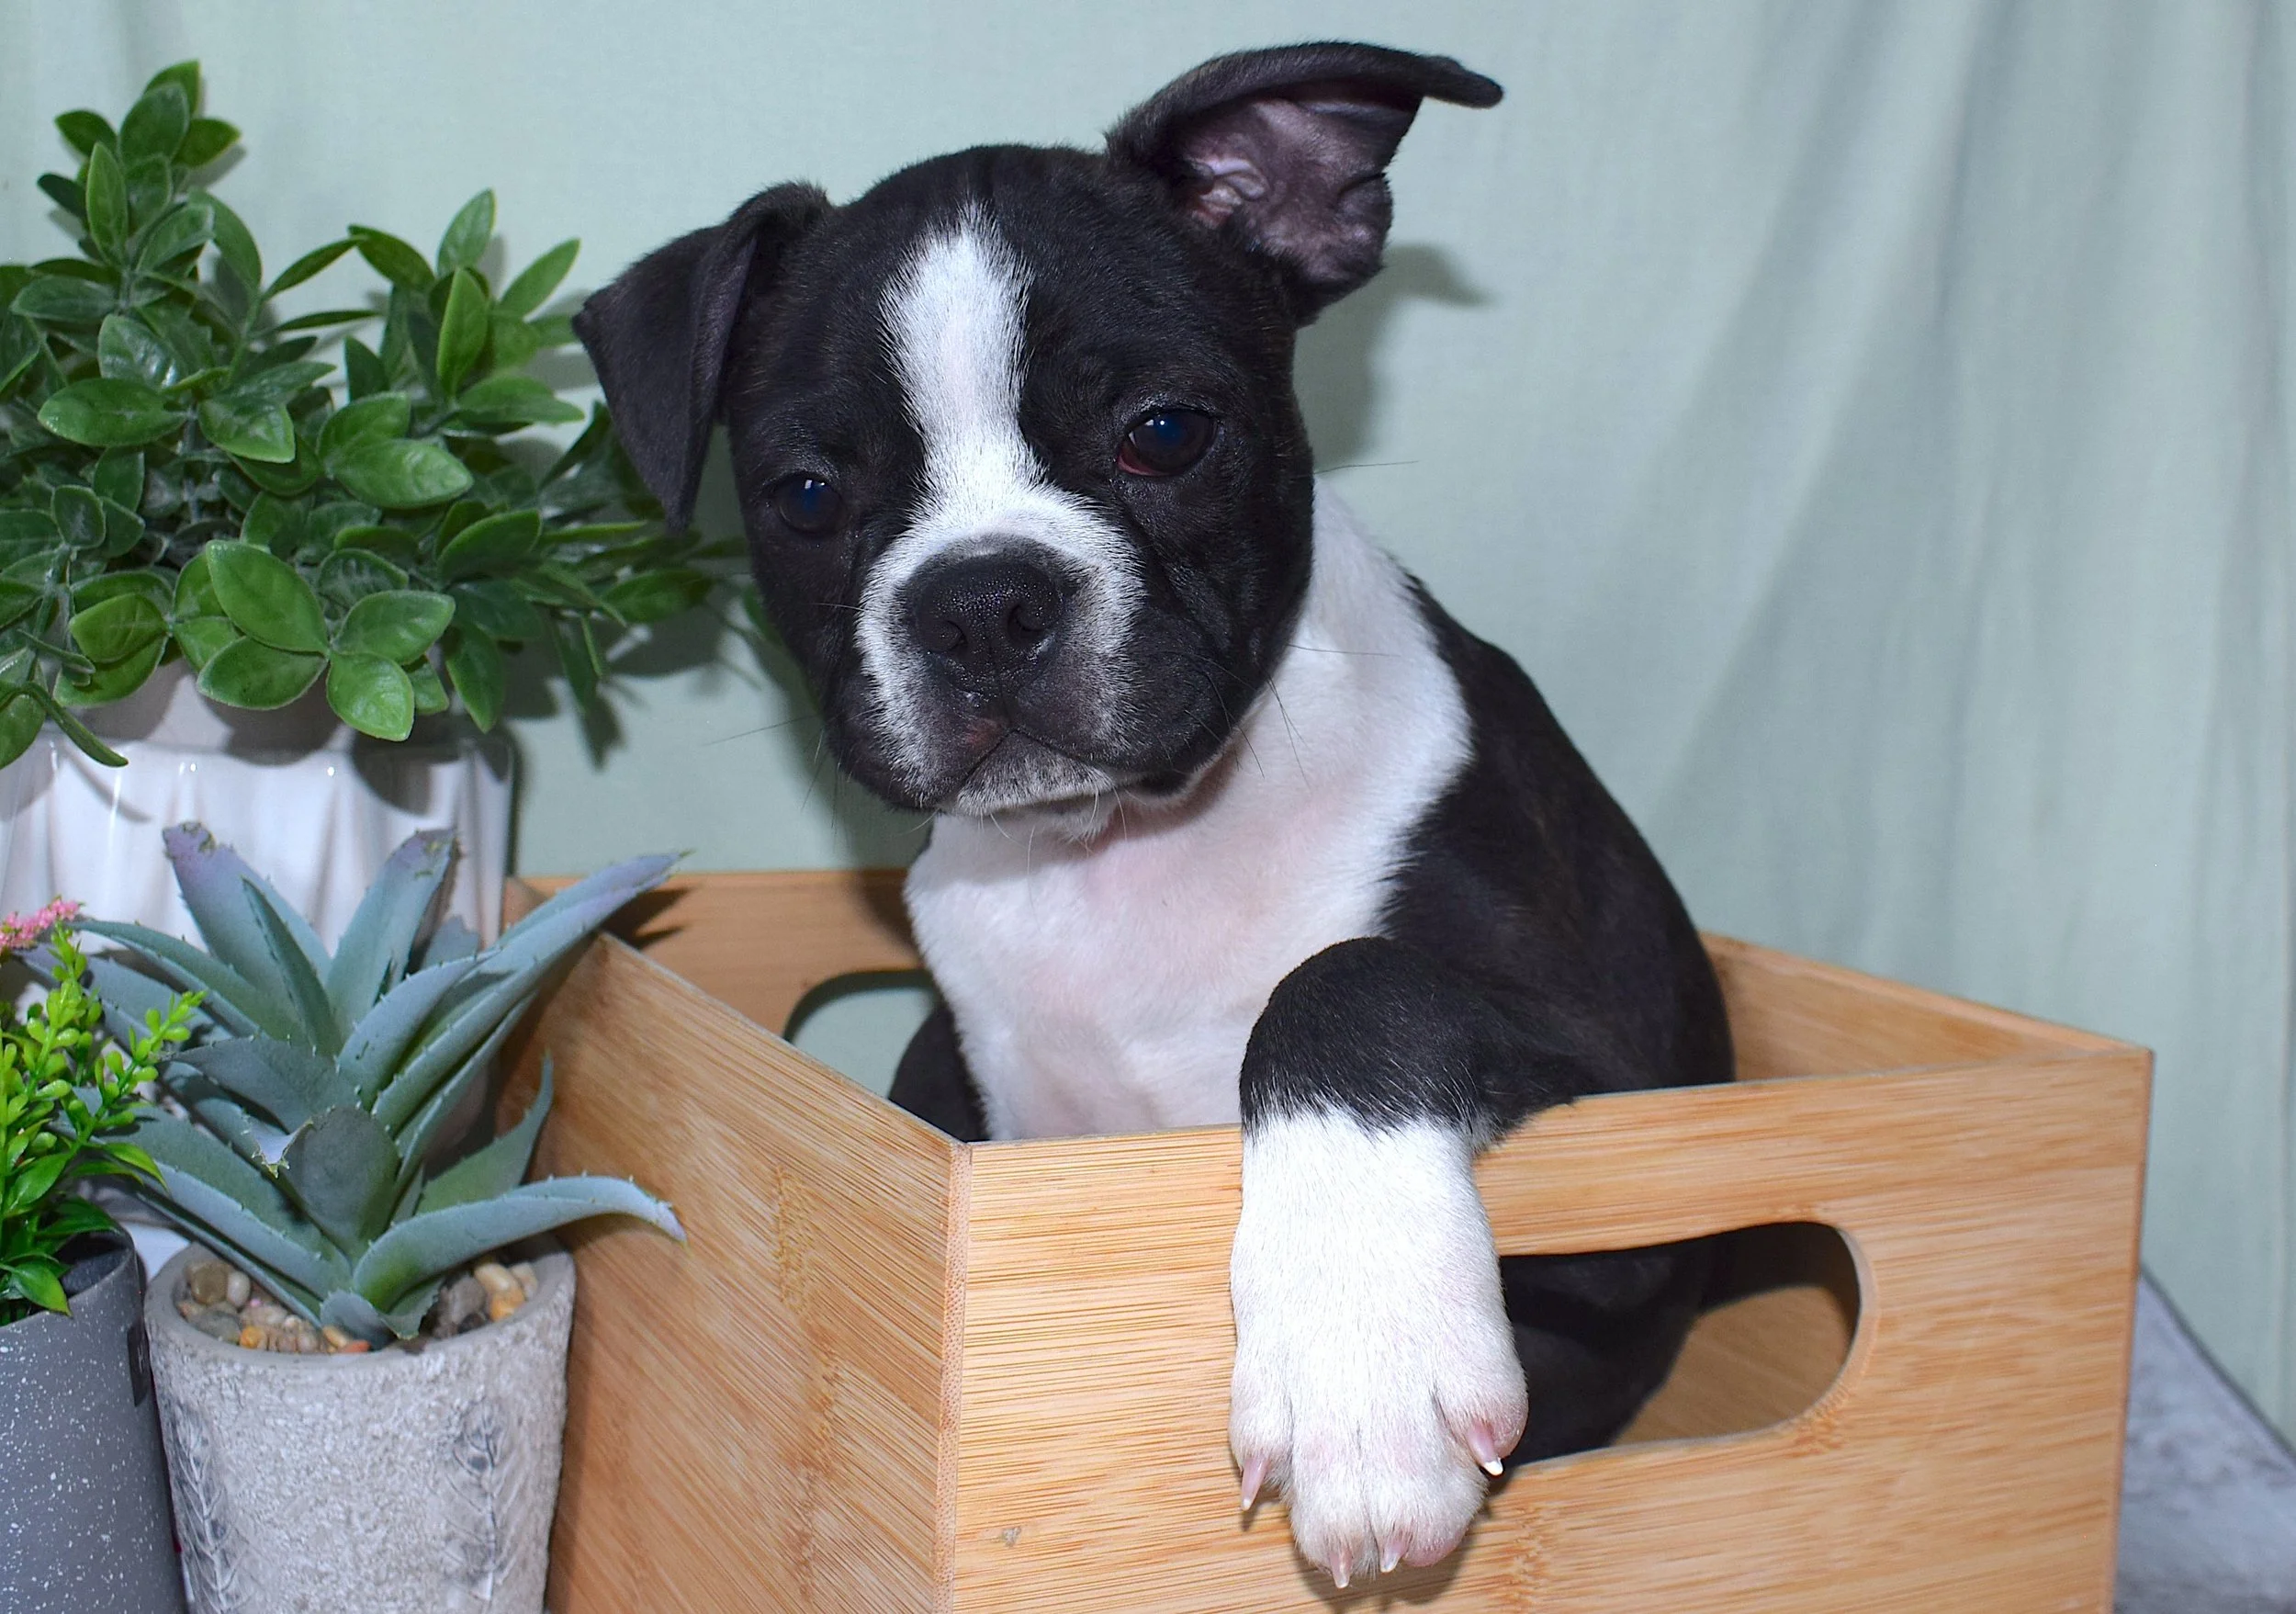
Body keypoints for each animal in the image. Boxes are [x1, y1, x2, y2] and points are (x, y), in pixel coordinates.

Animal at [575, 41, 1732, 1586]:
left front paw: (1361, 1365)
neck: (1127, 846)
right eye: (807, 496)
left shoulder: (1641, 1145)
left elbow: (1351, 977)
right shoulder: (982, 1108)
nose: (980, 601)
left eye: (1166, 434)